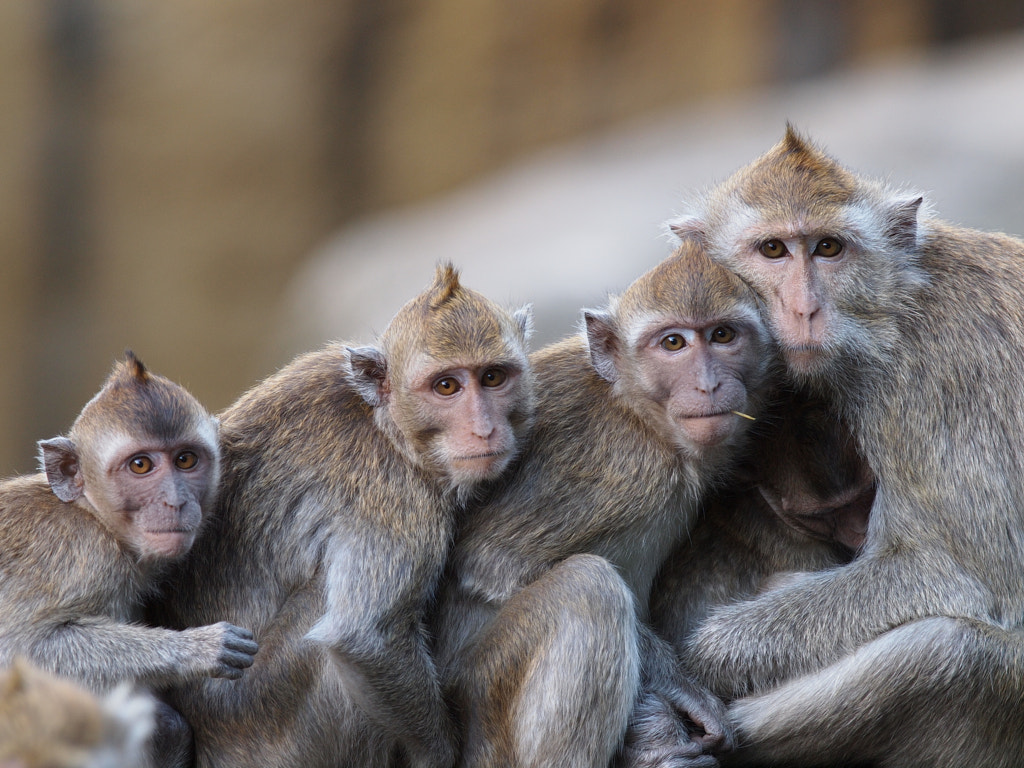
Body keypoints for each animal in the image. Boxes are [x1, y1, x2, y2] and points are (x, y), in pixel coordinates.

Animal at [152, 264, 535, 768]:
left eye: (492, 377)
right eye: (446, 386)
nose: (484, 428)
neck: (383, 423)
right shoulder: (395, 495)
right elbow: (367, 638)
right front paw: (438, 755)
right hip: (267, 726)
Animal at [431, 236, 775, 768]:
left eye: (722, 335)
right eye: (672, 343)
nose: (709, 384)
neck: (636, 411)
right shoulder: (621, 471)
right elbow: (492, 564)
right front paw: (679, 692)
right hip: (486, 709)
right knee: (588, 586)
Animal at [665, 127, 1024, 766]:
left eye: (829, 248)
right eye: (773, 251)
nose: (804, 308)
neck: (893, 313)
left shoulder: (924, 390)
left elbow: (958, 576)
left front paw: (706, 654)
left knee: (946, 649)